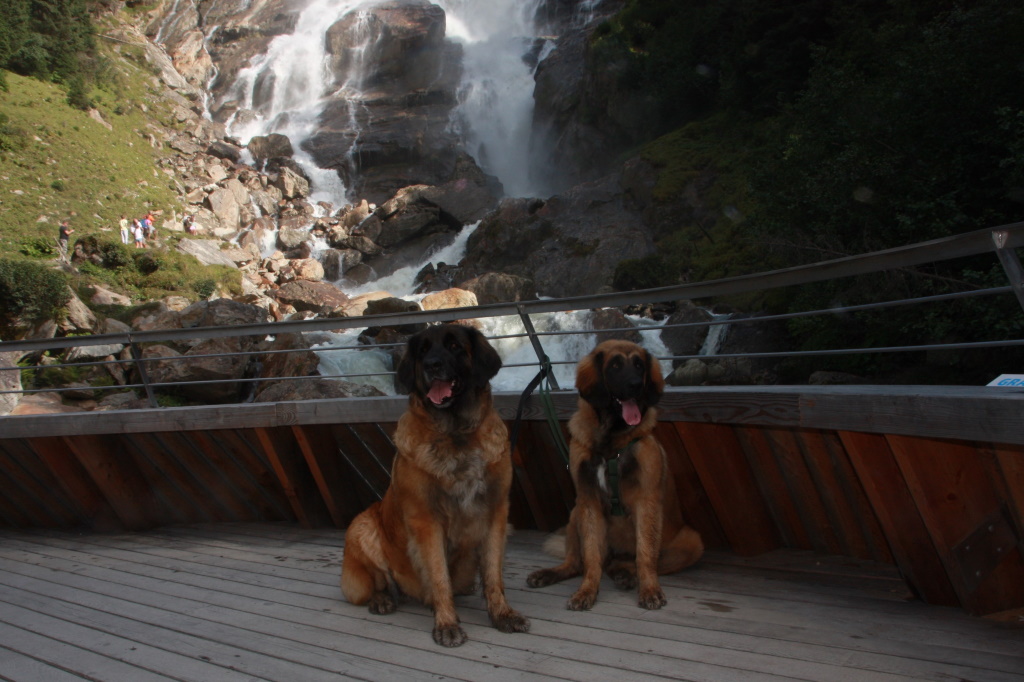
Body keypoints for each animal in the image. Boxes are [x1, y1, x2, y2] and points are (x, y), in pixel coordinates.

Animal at [342, 321, 532, 647]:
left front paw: (501, 614)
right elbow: (439, 576)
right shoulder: (427, 520)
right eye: (423, 351)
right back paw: (382, 599)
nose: (432, 365)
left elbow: (493, 575)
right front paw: (446, 623)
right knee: (377, 581)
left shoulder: (496, 514)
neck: (456, 434)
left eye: (454, 346)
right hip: (362, 527)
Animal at [528, 337, 704, 606]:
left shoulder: (646, 503)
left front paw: (649, 589)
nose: (635, 385)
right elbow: (591, 558)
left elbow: (645, 555)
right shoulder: (588, 501)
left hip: (692, 542)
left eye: (640, 365)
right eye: (615, 366)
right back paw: (551, 573)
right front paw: (587, 590)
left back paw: (625, 574)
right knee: (577, 563)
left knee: (633, 563)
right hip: (576, 513)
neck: (611, 443)